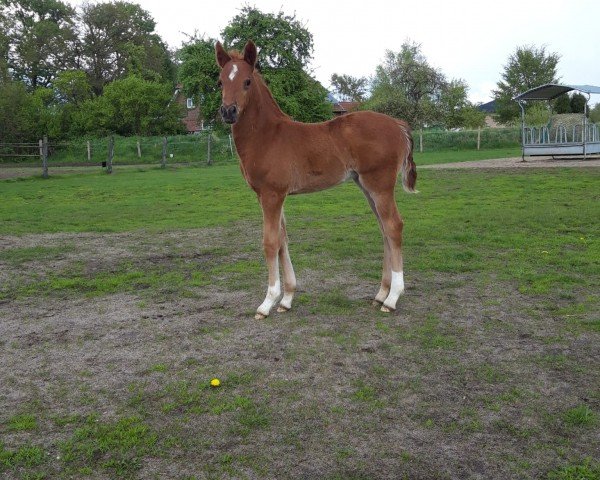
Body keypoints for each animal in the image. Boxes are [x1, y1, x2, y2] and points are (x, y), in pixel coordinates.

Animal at [216, 41, 418, 318]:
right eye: (220, 81)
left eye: (247, 81)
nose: (228, 111)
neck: (267, 136)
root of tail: (397, 125)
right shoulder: (271, 196)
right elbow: (282, 240)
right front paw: (287, 299)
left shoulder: (272, 194)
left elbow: (270, 242)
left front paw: (267, 303)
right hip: (366, 186)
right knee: (384, 229)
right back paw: (380, 294)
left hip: (380, 185)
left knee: (394, 226)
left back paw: (392, 298)